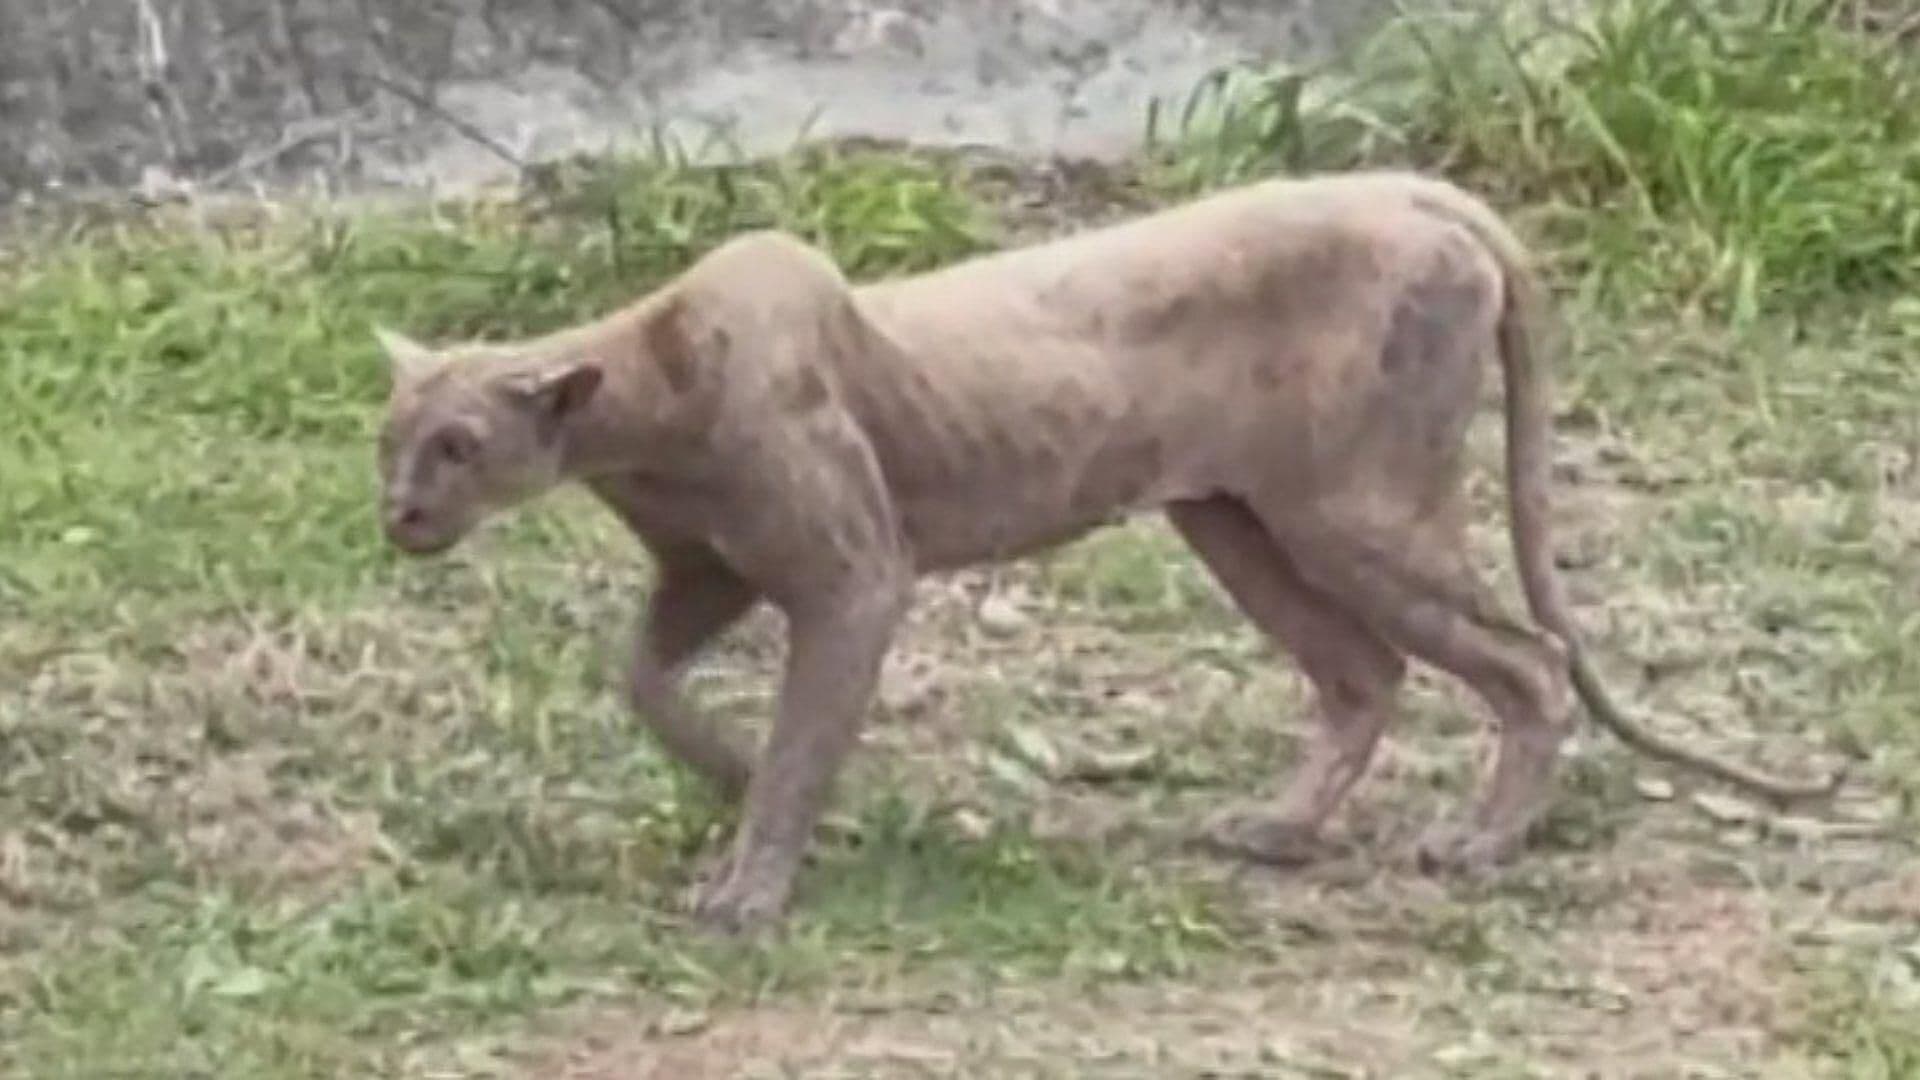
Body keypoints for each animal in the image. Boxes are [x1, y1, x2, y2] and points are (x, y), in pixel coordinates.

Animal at [372, 169, 1841, 932]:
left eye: (455, 444)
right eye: (389, 438)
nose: (394, 510)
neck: (646, 410)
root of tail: (1417, 188)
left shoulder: (853, 580)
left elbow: (797, 742)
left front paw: (754, 881)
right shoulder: (710, 574)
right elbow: (647, 684)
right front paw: (733, 780)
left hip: (1357, 513)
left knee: (1526, 662)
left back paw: (1475, 849)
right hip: (1238, 519)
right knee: (1365, 675)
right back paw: (1279, 829)